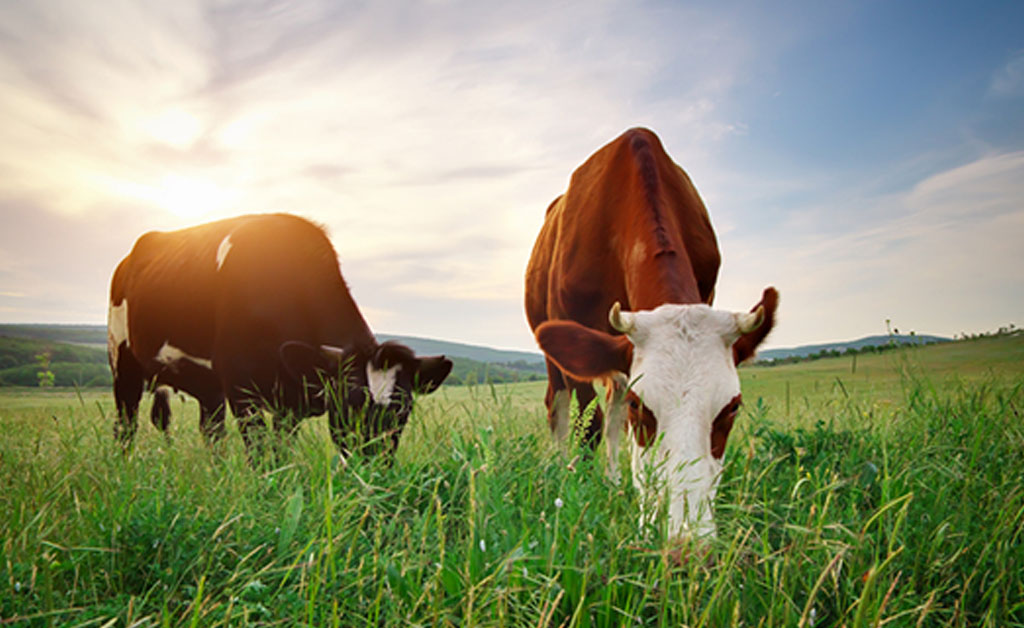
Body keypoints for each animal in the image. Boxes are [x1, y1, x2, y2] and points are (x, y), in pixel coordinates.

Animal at [107, 213, 452, 458]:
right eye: (349, 405)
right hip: (122, 361)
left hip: (207, 386)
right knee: (126, 424)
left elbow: (280, 452)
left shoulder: (291, 402)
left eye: (403, 411)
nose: (373, 470)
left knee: (211, 432)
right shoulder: (240, 385)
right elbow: (260, 454)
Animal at [525, 128, 777, 539]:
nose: (684, 540)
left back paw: (613, 481)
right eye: (640, 406)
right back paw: (563, 468)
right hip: (552, 348)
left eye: (732, 408)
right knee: (560, 405)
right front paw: (578, 487)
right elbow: (589, 423)